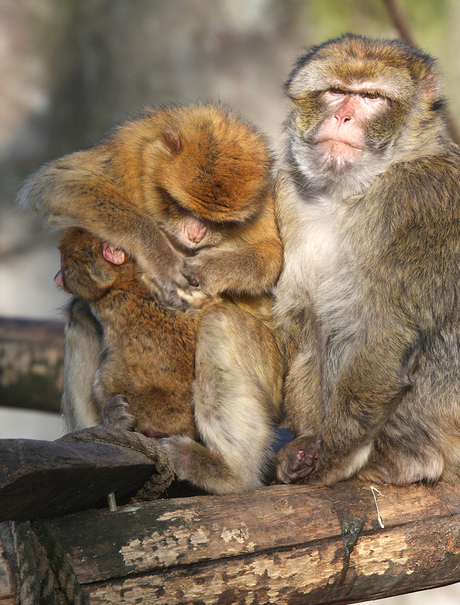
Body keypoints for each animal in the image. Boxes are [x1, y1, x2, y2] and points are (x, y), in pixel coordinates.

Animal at [20, 101, 284, 494]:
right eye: (184, 208)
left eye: (214, 221)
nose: (196, 233)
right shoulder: (131, 149)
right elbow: (58, 185)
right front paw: (157, 251)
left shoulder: (262, 202)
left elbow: (272, 257)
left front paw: (206, 271)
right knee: (81, 313)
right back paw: (105, 427)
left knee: (222, 325)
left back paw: (229, 473)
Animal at [274, 31, 460, 486]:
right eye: (336, 91)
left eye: (371, 97)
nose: (342, 117)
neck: (354, 191)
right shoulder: (288, 192)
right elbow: (300, 315)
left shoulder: (416, 200)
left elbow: (384, 327)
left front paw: (333, 458)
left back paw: (409, 457)